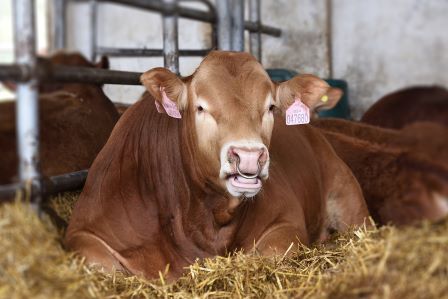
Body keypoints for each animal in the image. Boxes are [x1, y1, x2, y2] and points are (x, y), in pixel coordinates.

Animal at [65, 51, 368, 282]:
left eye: (271, 108)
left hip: (349, 197)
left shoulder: (287, 223)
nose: (249, 156)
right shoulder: (85, 234)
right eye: (201, 108)